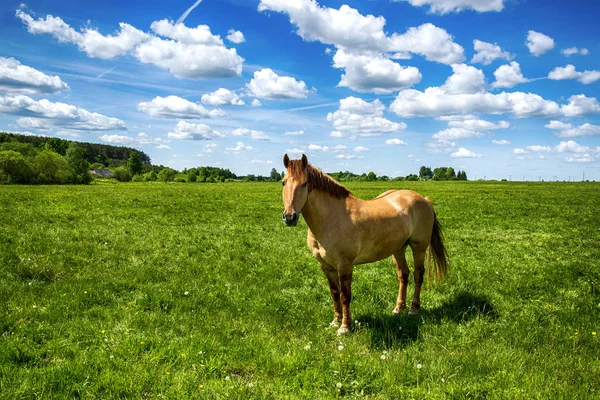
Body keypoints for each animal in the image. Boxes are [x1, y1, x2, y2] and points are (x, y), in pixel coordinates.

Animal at [280, 153, 446, 334]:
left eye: (304, 184)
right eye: (283, 182)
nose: (289, 217)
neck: (330, 218)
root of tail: (424, 199)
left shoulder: (345, 264)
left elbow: (345, 295)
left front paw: (345, 327)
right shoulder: (326, 266)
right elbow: (334, 293)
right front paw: (335, 322)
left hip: (419, 247)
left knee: (418, 274)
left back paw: (414, 309)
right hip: (398, 249)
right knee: (403, 274)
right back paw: (398, 309)